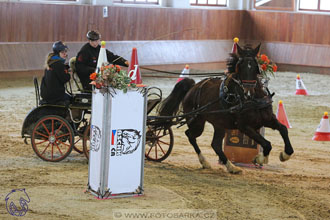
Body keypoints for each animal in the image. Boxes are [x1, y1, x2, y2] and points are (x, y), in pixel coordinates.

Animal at [159, 43, 294, 174]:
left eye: (255, 66)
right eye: (240, 66)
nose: (248, 92)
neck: (253, 101)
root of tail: (193, 87)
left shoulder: (268, 119)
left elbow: (283, 129)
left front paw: (285, 154)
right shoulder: (244, 126)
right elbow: (266, 144)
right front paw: (259, 158)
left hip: (219, 124)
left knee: (215, 145)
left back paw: (231, 167)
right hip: (197, 122)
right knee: (190, 135)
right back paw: (205, 162)